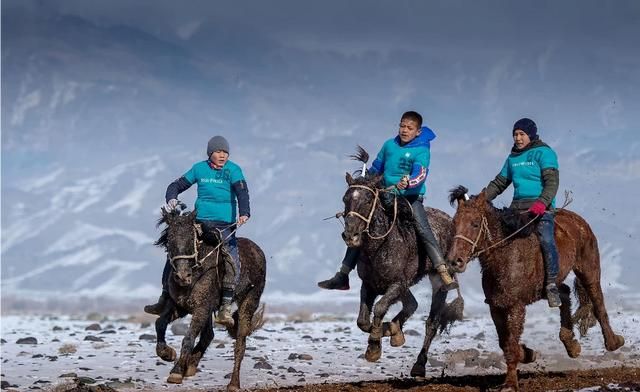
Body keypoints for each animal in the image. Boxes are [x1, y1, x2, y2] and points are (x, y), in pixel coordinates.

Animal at [154, 207, 266, 390]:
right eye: (169, 238)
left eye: (191, 238)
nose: (182, 276)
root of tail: (257, 251)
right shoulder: (179, 306)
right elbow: (160, 323)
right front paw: (167, 354)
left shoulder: (201, 308)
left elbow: (188, 338)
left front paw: (176, 372)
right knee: (208, 335)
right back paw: (191, 364)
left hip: (249, 302)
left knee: (240, 343)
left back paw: (233, 383)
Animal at [342, 148, 462, 376]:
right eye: (345, 199)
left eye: (368, 200)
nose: (350, 235)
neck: (381, 245)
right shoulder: (369, 284)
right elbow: (363, 321)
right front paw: (389, 331)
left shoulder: (397, 284)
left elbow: (380, 308)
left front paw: (374, 346)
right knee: (412, 304)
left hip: (437, 281)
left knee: (431, 323)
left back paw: (419, 365)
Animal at [448, 188, 624, 392]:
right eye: (454, 224)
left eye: (475, 224)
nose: (455, 261)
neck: (505, 255)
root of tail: (577, 219)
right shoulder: (496, 307)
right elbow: (505, 343)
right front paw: (528, 353)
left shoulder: (516, 306)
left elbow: (510, 344)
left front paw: (510, 384)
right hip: (548, 286)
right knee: (563, 293)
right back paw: (571, 345)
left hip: (589, 269)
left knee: (597, 301)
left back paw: (613, 342)